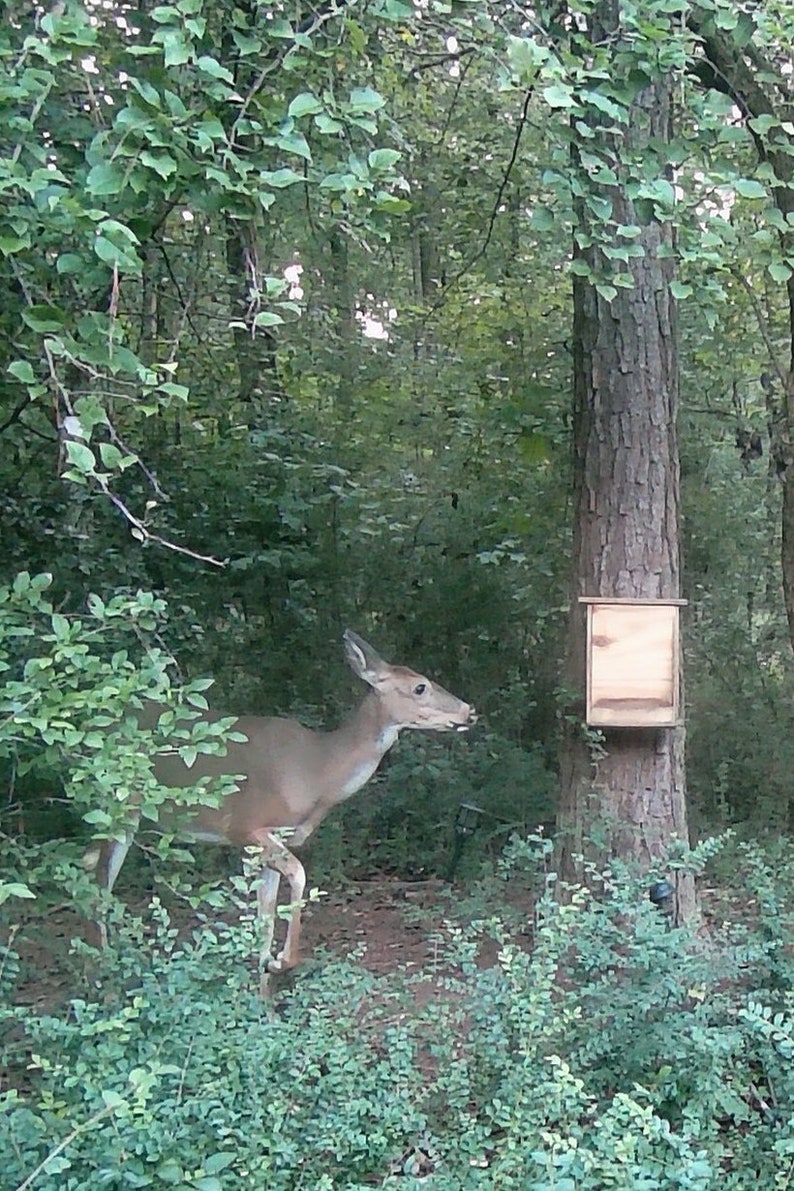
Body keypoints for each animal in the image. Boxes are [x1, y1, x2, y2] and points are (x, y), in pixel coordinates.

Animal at [85, 630, 476, 986]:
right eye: (420, 687)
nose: (469, 711)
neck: (317, 774)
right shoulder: (244, 825)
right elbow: (298, 876)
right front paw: (281, 962)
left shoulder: (276, 838)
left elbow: (266, 914)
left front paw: (265, 994)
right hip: (119, 806)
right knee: (99, 880)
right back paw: (104, 977)